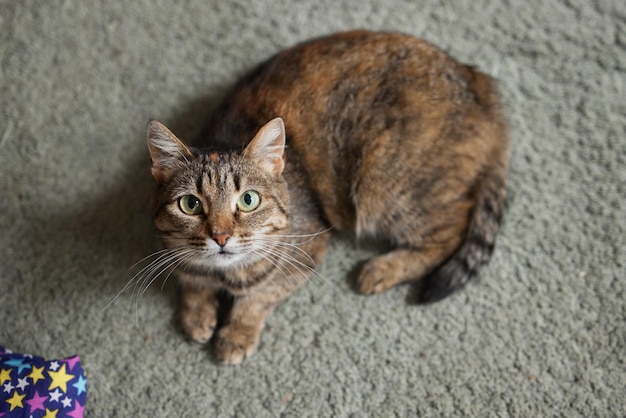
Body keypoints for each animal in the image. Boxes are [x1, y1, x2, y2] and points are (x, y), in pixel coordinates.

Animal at [145, 29, 508, 364]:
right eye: (190, 204)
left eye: (248, 200)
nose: (220, 237)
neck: (223, 275)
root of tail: (479, 84)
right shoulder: (172, 251)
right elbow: (189, 279)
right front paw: (196, 313)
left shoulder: (307, 249)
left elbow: (259, 296)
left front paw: (235, 333)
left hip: (384, 185)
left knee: (449, 233)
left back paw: (382, 269)